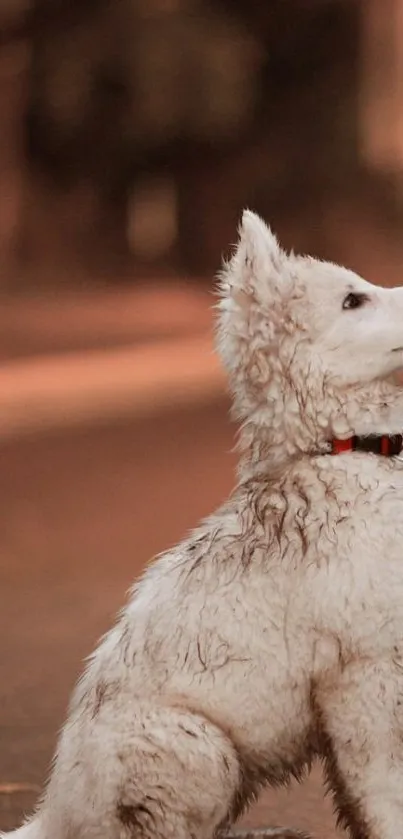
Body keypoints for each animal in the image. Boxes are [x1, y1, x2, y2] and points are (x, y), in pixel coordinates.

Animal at [4, 213, 403, 839]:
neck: (346, 449)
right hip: (199, 748)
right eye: (352, 299)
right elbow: (384, 791)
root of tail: (54, 817)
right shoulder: (362, 675)